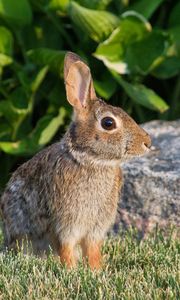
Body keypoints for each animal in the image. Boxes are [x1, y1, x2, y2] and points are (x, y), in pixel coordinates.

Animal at [0, 51, 151, 270]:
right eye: (108, 123)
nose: (147, 142)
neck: (90, 160)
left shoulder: (96, 227)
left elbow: (93, 249)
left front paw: (96, 270)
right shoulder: (66, 224)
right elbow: (66, 248)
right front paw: (71, 270)